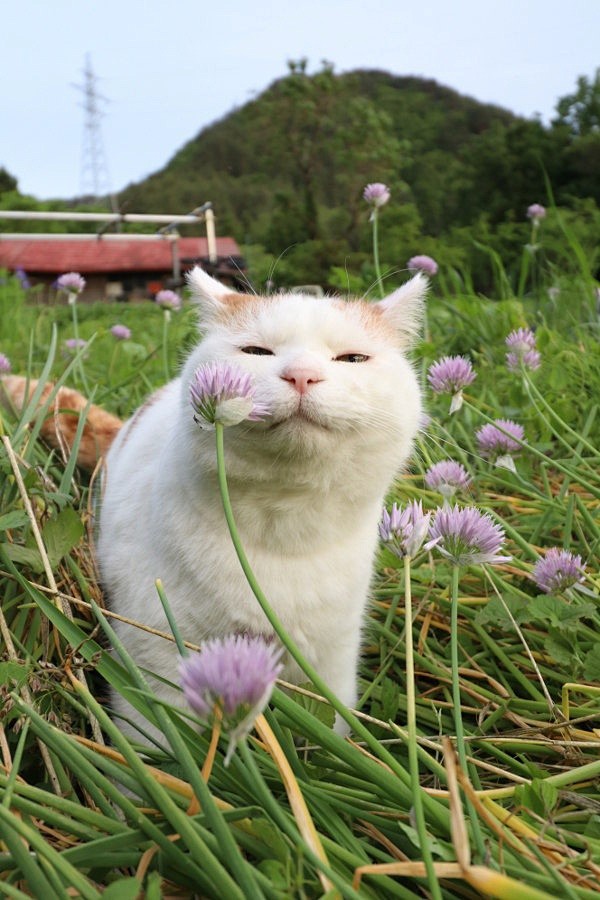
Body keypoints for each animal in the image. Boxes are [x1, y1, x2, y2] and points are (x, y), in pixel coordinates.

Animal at [3, 270, 426, 740]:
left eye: (352, 359)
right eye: (256, 352)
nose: (302, 376)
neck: (282, 527)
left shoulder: (330, 662)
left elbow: (328, 732)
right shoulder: (157, 658)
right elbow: (160, 746)